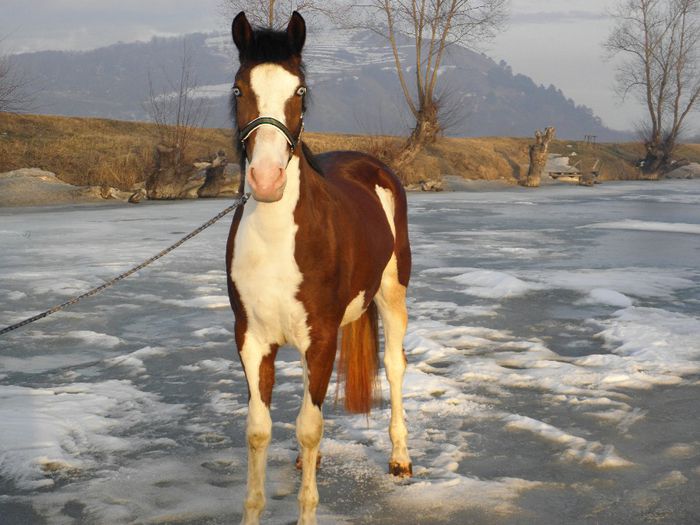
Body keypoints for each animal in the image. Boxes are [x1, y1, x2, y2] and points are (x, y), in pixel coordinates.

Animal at [225, 11, 412, 525]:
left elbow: (309, 426)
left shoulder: (324, 336)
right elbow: (259, 429)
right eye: (239, 89)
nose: (266, 179)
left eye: (300, 90)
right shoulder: (251, 339)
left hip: (393, 295)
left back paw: (400, 458)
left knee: (394, 367)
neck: (277, 240)